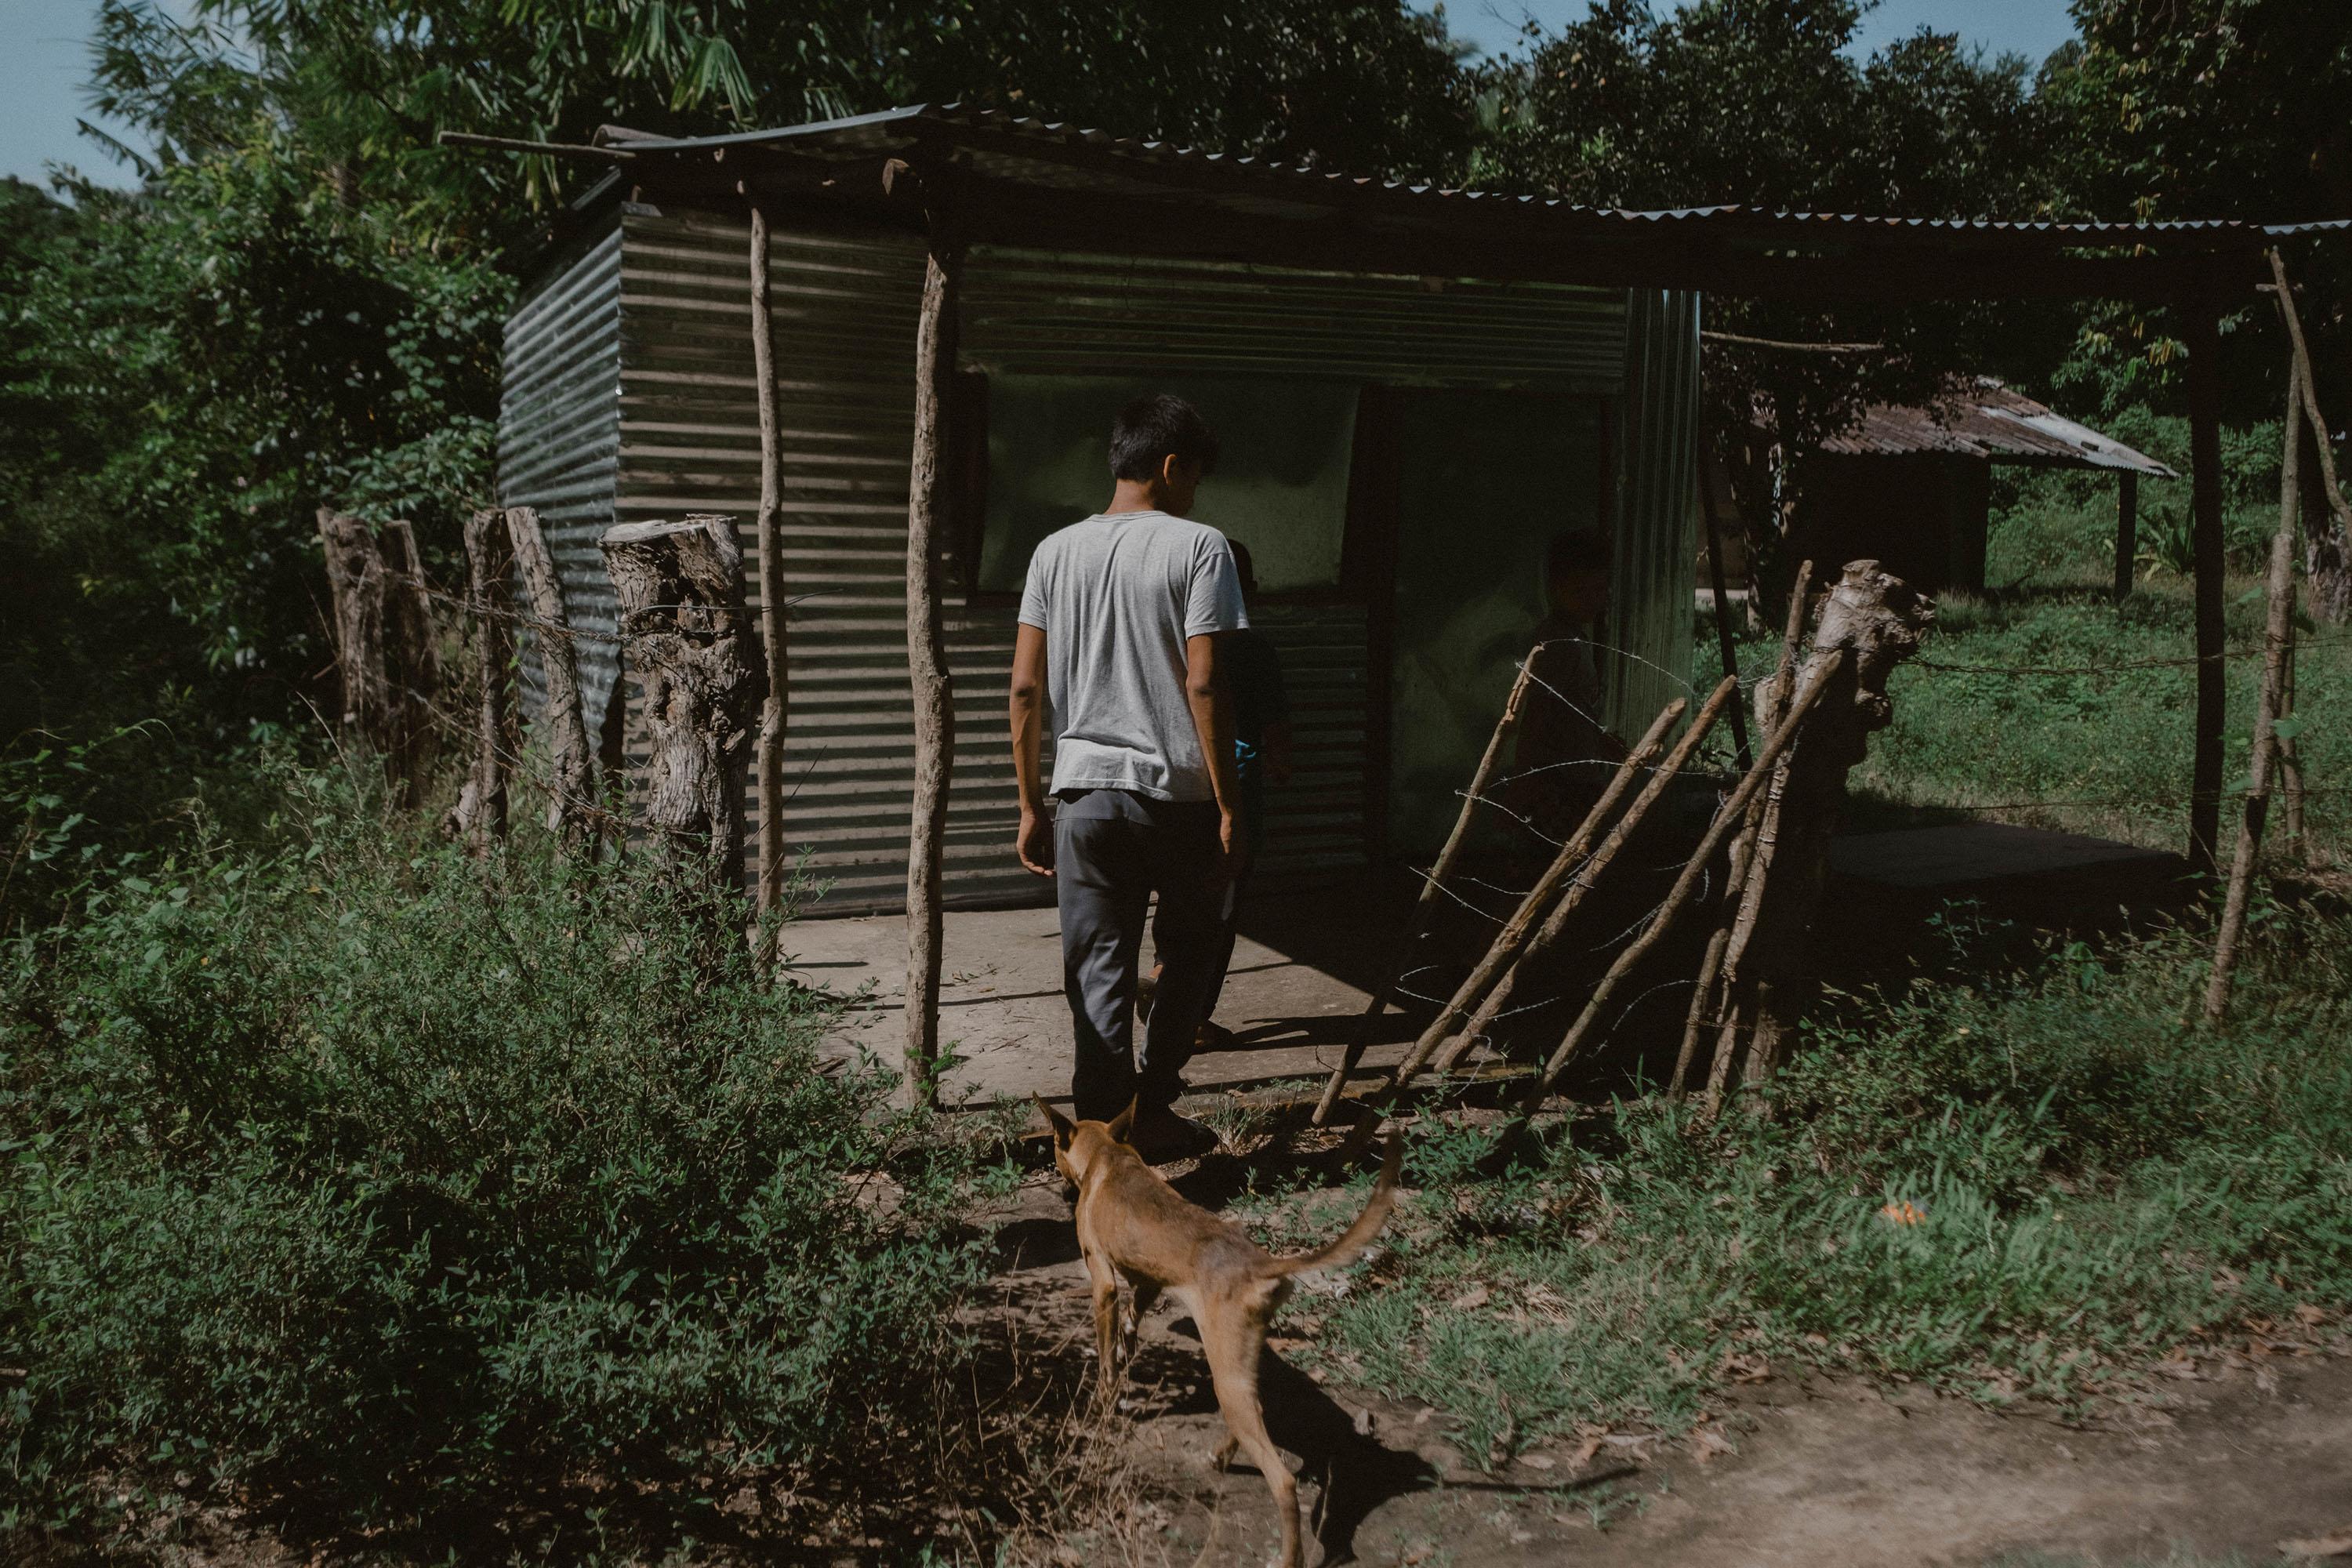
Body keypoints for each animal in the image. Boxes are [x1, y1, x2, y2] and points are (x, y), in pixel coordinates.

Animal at [1044, 1105, 1402, 1568]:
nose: (1059, 1186)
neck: (1110, 1155)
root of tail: (1262, 1264)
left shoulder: (1103, 1280)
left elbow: (1106, 1360)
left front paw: (1104, 1401)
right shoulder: (1150, 1281)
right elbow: (1132, 1321)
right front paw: (1128, 1349)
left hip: (1227, 1377)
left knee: (1284, 1483)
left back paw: (1287, 1556)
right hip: (1237, 1370)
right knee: (1257, 1408)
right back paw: (1221, 1454)